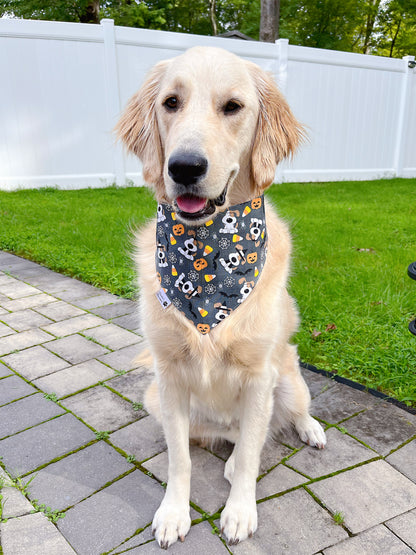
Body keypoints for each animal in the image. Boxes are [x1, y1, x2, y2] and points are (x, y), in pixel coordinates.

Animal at [116, 45, 324, 548]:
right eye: (171, 103)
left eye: (232, 106)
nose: (184, 167)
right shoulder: (169, 378)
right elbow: (181, 460)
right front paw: (173, 513)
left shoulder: (259, 375)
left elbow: (250, 454)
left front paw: (240, 512)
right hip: (156, 398)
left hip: (288, 377)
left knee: (279, 421)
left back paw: (310, 429)